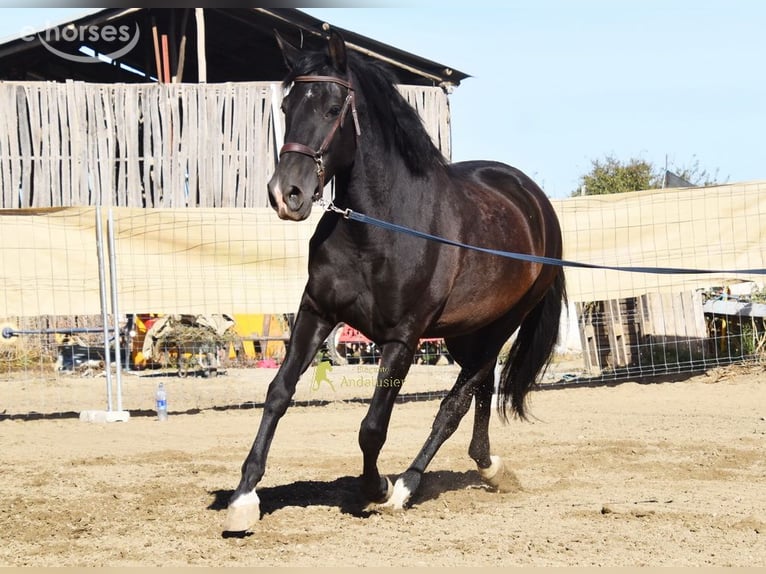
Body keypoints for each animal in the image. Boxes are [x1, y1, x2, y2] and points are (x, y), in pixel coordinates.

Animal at [224, 30, 566, 532]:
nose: (287, 194)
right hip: (465, 333)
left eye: (333, 108)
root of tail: (536, 203)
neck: (380, 225)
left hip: (502, 325)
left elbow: (372, 427)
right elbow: (278, 395)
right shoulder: (315, 312)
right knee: (480, 391)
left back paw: (407, 484)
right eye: (287, 107)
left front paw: (378, 488)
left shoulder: (402, 338)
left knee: (454, 405)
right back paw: (488, 467)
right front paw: (244, 497)